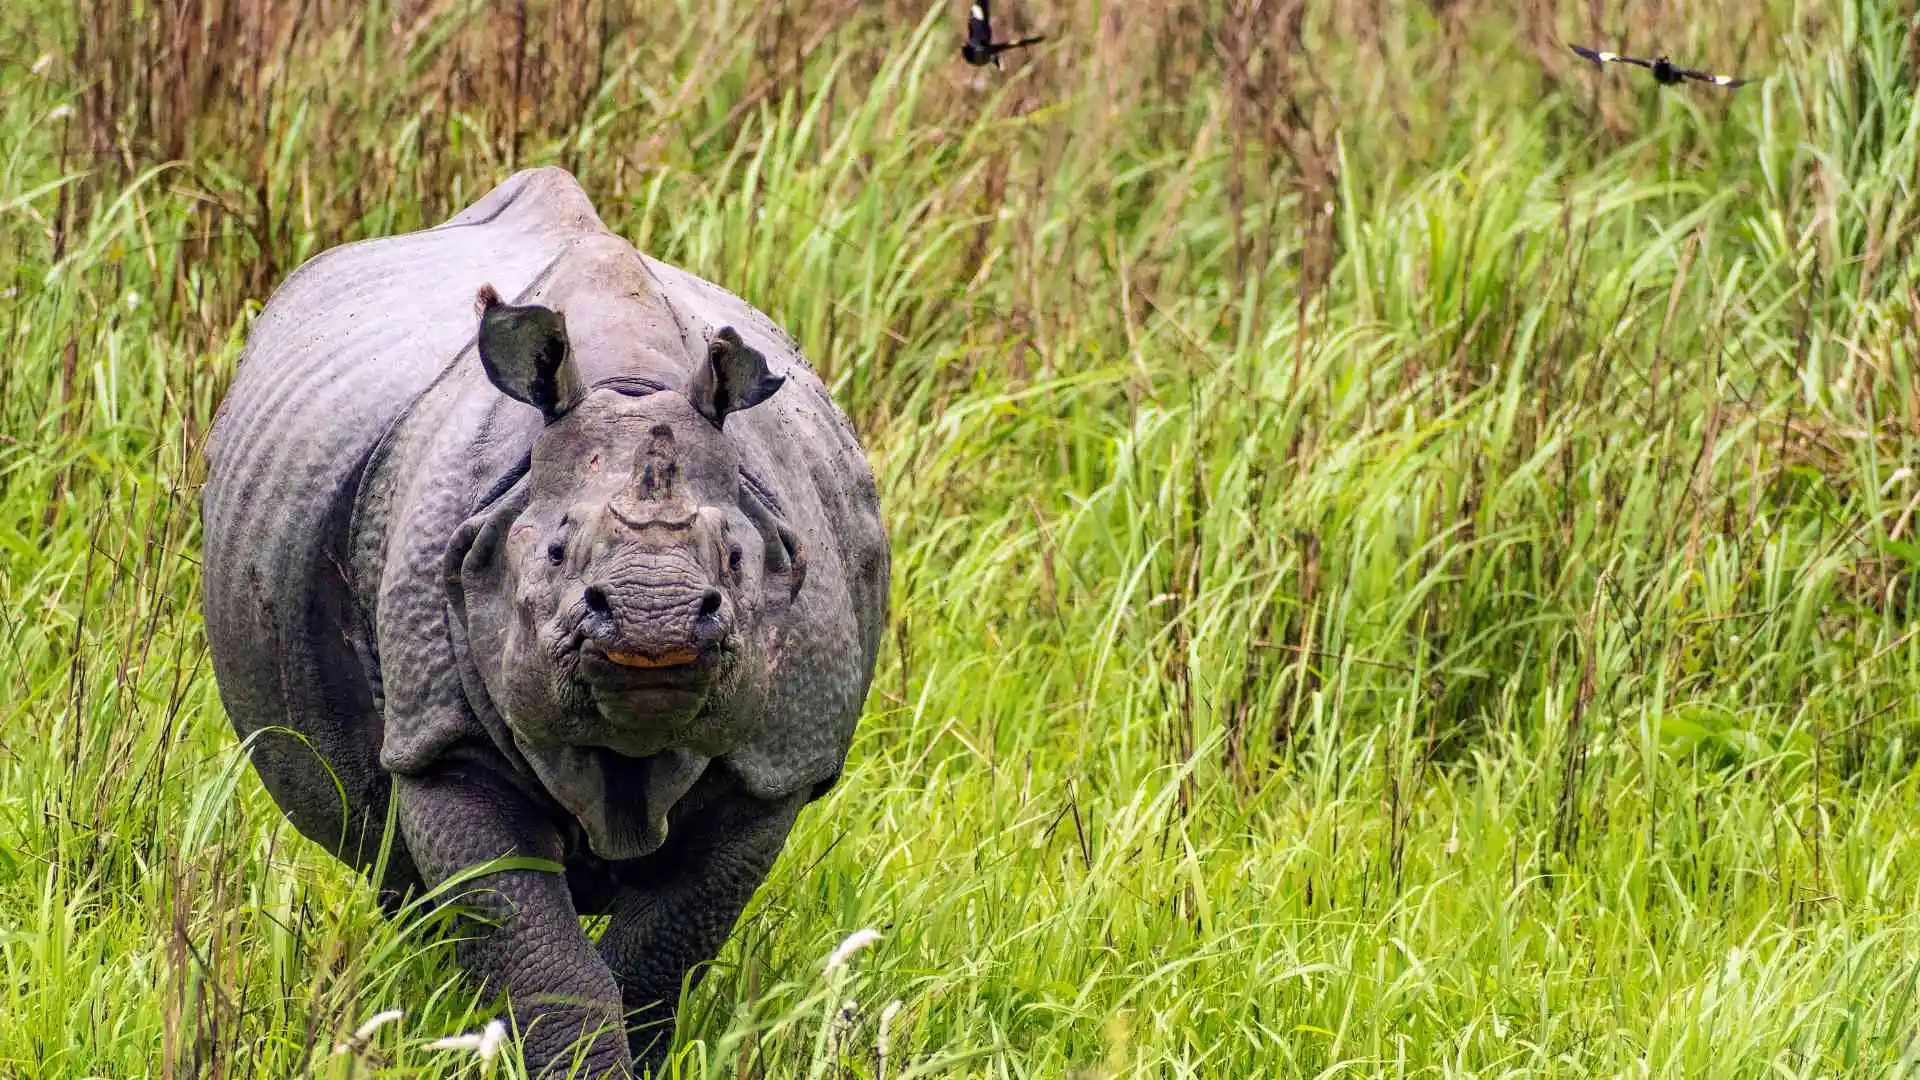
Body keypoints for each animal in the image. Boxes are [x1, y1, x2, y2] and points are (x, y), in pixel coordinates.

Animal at [197, 167, 889, 1076]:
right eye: (556, 552)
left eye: (736, 562)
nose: (656, 618)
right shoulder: (442, 735)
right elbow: (541, 956)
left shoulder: (776, 762)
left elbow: (656, 955)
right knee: (392, 862)